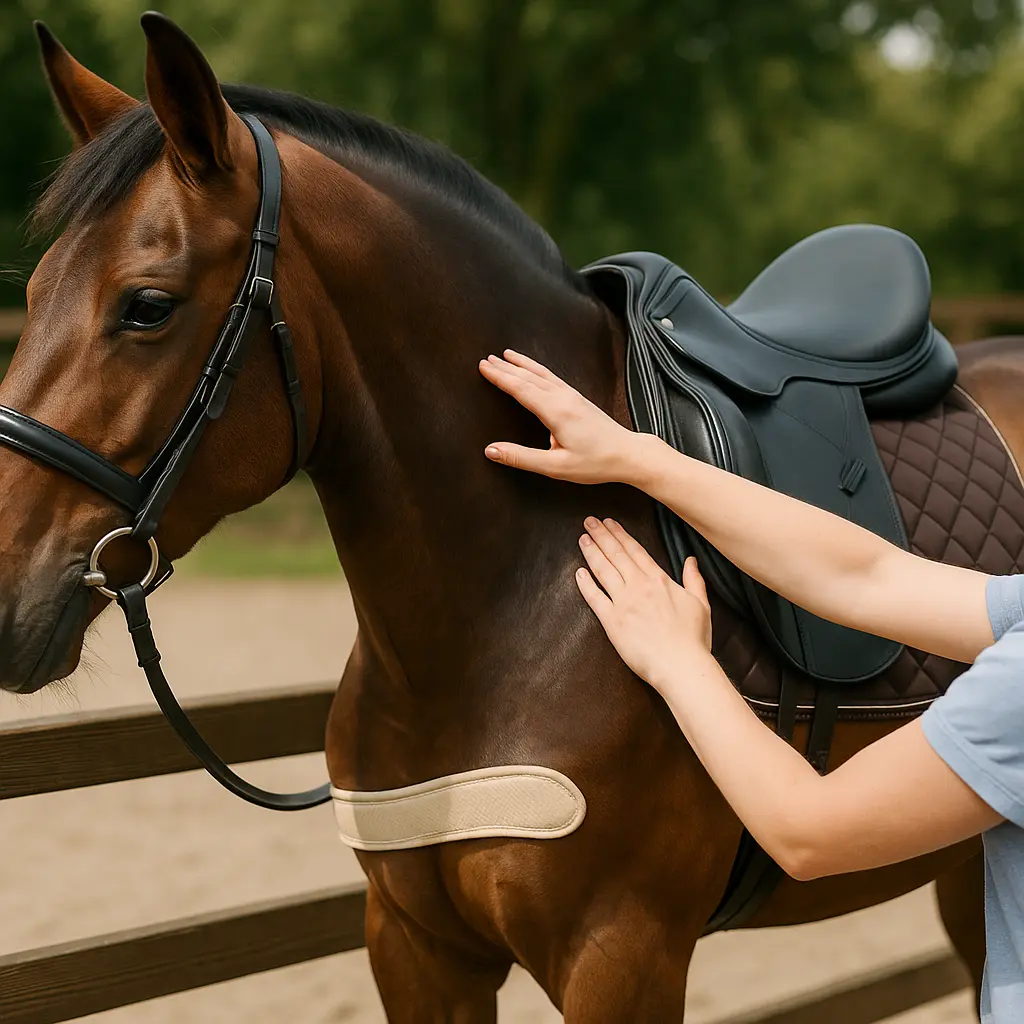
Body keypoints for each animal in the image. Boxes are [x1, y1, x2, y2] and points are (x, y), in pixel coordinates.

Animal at [1, 13, 1014, 1019]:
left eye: (147, 306)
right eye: (32, 295)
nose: (4, 597)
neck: (505, 604)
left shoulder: (623, 955)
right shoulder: (416, 947)